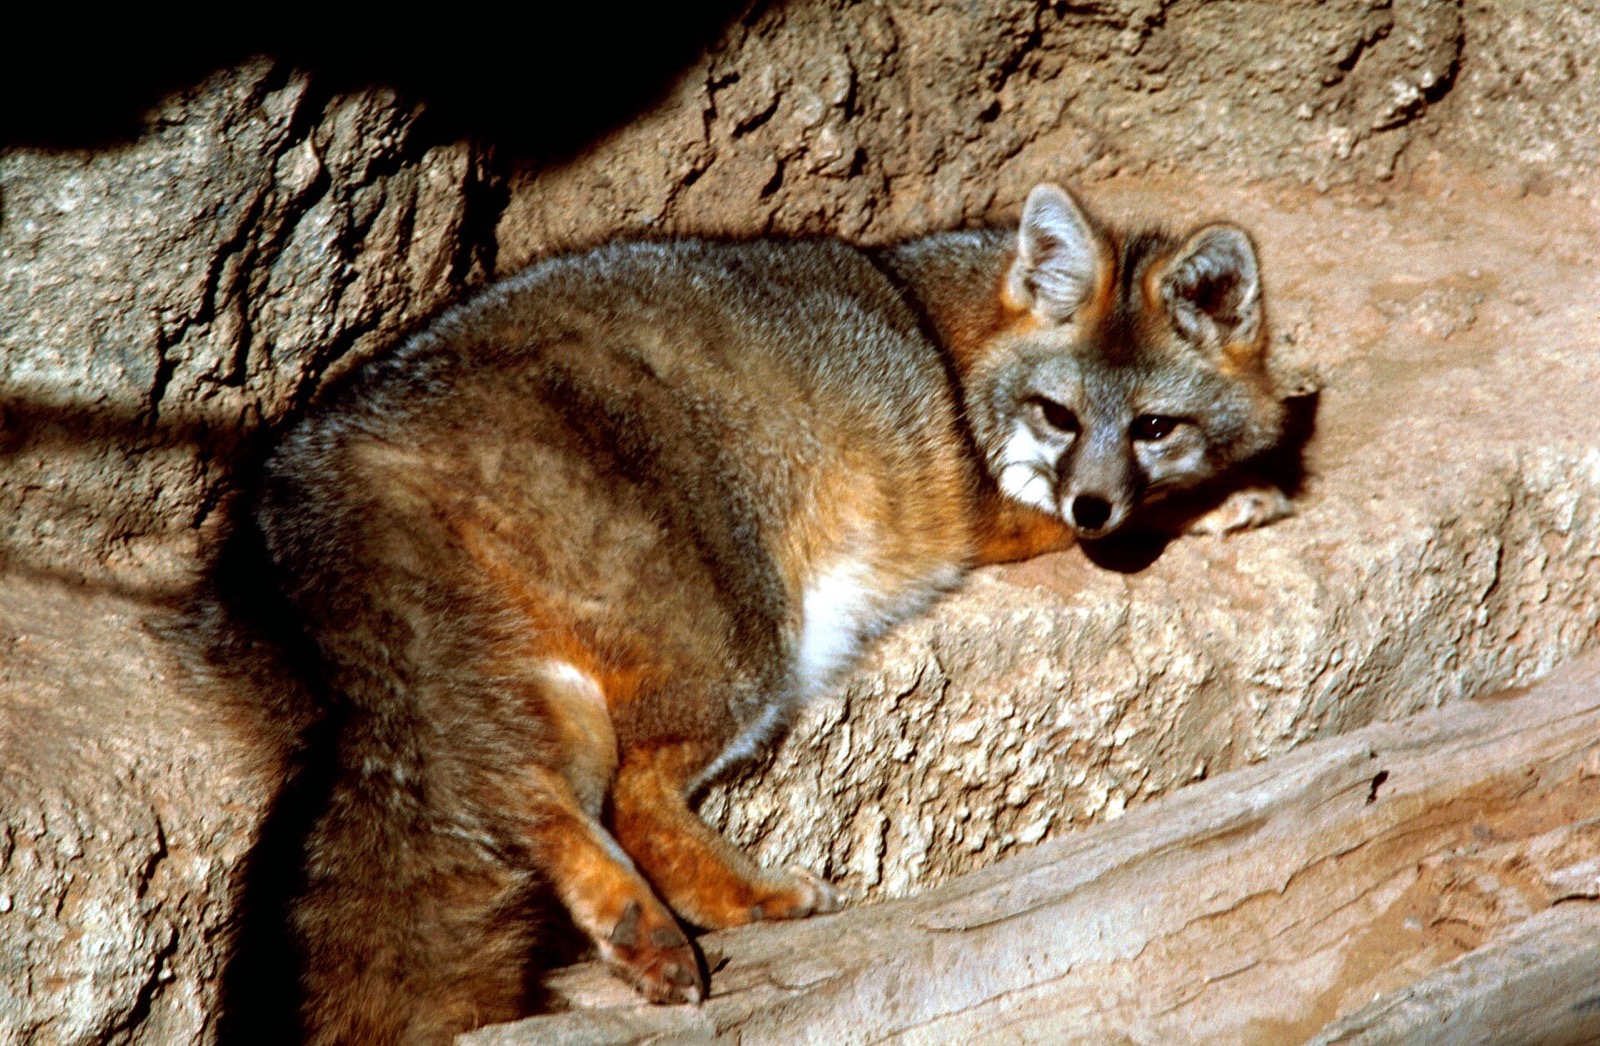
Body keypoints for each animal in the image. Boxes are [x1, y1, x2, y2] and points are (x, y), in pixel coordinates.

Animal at [242, 182, 1289, 1043]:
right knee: (628, 796)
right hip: (743, 650)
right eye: (1058, 416)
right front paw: (1228, 496)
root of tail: (334, 438)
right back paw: (737, 904)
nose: (1093, 505)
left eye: (1153, 427)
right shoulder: (994, 509)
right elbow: (1132, 518)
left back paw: (638, 929)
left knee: (531, 797)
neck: (956, 333)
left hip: (548, 691)